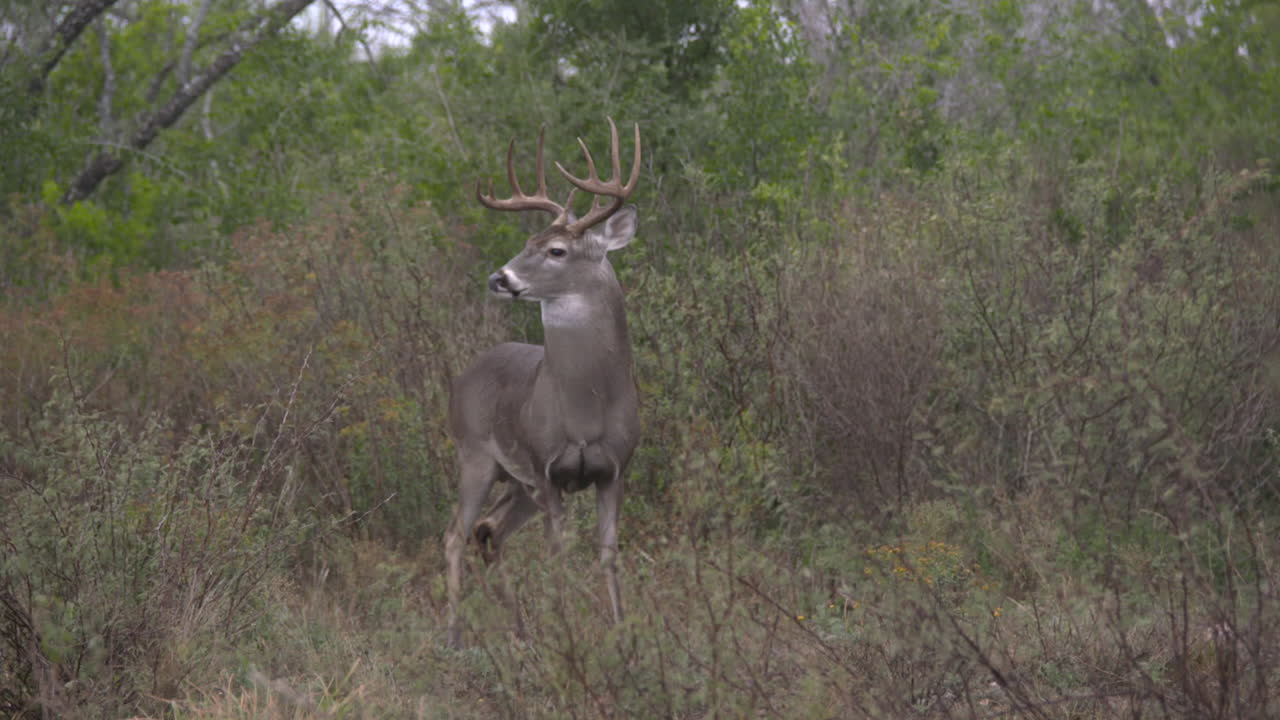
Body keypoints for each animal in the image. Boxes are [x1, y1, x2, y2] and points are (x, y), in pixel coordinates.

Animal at [444, 118, 642, 648]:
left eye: (556, 250)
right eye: (527, 243)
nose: (500, 277)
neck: (588, 408)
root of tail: (465, 374)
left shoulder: (614, 470)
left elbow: (607, 553)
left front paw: (620, 632)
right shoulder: (547, 468)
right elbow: (558, 553)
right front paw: (567, 627)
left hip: (517, 482)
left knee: (488, 529)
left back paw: (519, 630)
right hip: (476, 455)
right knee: (455, 534)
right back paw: (453, 635)